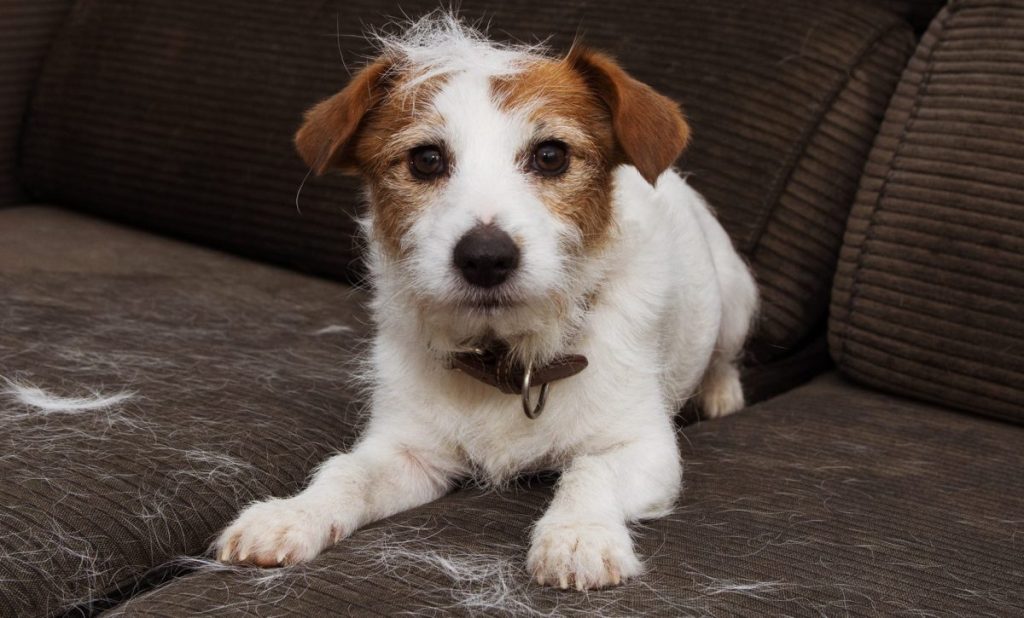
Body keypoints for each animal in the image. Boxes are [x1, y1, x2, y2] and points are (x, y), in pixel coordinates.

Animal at [218, 14, 761, 593]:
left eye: (551, 155)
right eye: (426, 159)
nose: (484, 257)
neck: (507, 357)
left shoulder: (643, 448)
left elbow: (590, 471)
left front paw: (578, 535)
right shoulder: (408, 451)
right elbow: (347, 472)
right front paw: (292, 514)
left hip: (735, 295)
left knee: (725, 353)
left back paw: (721, 392)